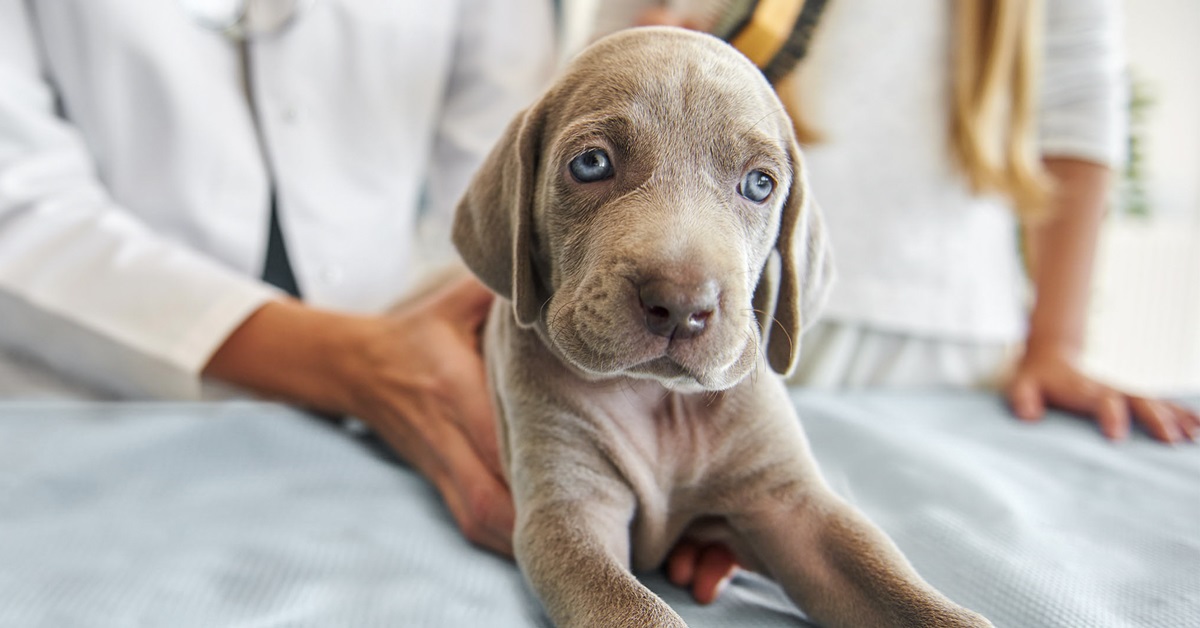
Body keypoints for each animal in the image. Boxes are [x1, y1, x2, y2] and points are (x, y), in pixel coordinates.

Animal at [451, 25, 993, 628]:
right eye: (591, 163)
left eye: (759, 184)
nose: (681, 305)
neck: (660, 400)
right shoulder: (569, 513)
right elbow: (637, 608)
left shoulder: (793, 506)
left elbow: (897, 587)